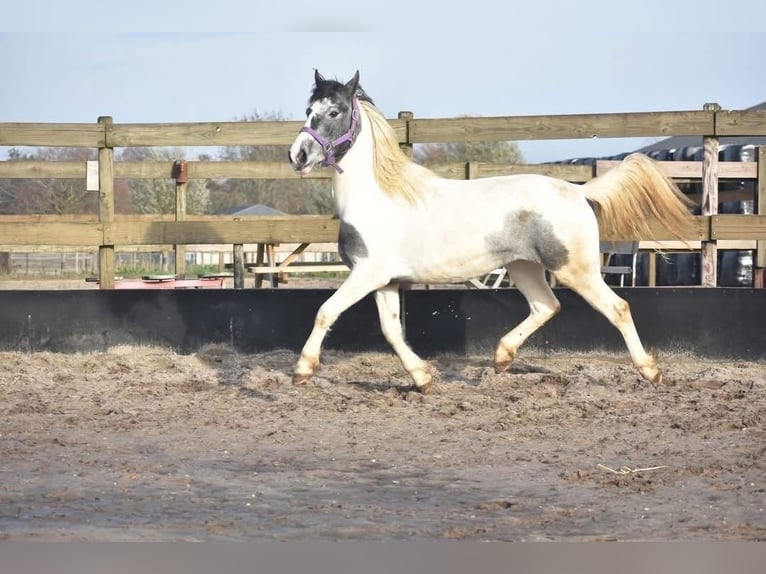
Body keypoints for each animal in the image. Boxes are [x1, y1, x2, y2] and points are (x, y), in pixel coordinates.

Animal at [288, 70, 693, 393]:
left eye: (334, 112)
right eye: (308, 111)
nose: (298, 156)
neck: (376, 196)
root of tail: (578, 191)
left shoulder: (366, 274)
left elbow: (325, 311)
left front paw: (302, 370)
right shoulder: (385, 281)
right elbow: (391, 330)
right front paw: (422, 378)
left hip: (576, 270)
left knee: (618, 308)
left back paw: (651, 371)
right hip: (523, 267)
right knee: (547, 305)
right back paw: (501, 358)